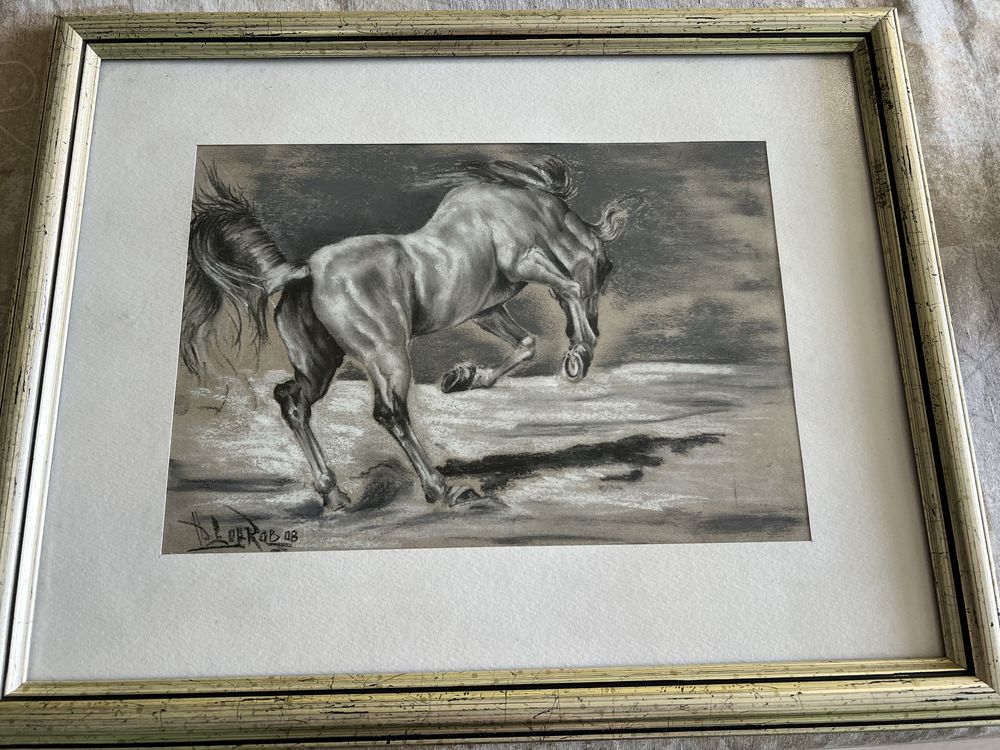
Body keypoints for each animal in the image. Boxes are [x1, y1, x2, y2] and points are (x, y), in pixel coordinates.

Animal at [181, 157, 635, 509]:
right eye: (606, 266)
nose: (595, 323)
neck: (524, 209)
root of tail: (306, 271)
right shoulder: (523, 261)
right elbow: (569, 288)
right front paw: (580, 353)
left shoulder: (486, 310)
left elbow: (526, 344)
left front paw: (463, 378)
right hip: (387, 354)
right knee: (390, 413)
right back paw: (442, 490)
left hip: (320, 364)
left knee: (293, 400)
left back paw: (334, 494)